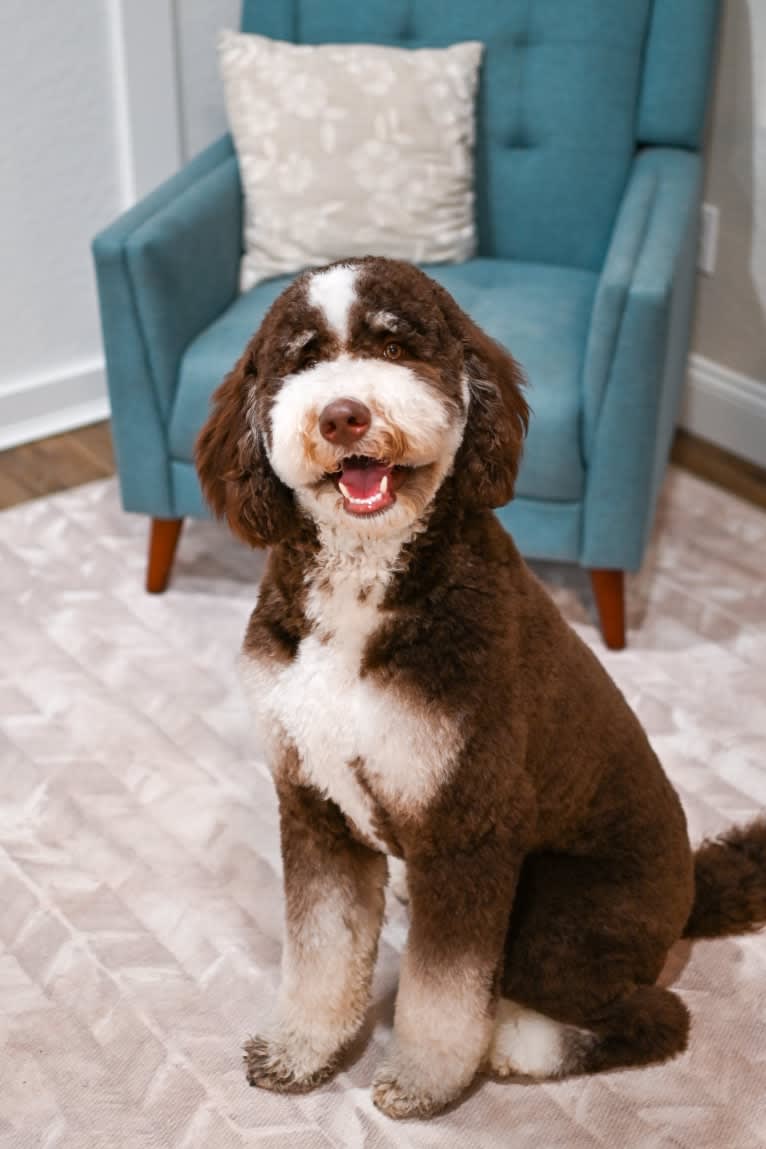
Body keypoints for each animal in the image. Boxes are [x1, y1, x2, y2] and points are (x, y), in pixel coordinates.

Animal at [197, 256, 766, 1116]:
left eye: (396, 346)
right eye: (301, 359)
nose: (342, 416)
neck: (366, 585)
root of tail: (692, 892)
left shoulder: (470, 824)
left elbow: (444, 986)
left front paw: (425, 1078)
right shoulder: (315, 803)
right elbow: (322, 946)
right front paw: (303, 1047)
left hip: (562, 919)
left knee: (656, 1016)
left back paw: (514, 1041)